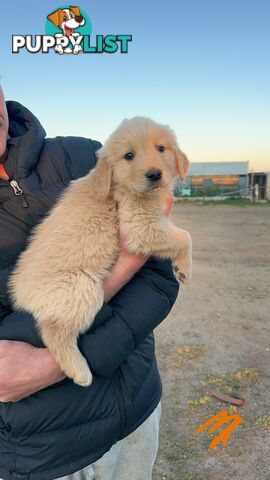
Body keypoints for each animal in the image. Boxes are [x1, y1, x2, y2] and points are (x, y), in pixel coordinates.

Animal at [9, 116, 192, 386]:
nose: (154, 174)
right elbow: (184, 237)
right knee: (53, 332)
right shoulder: (139, 227)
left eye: (161, 149)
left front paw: (179, 267)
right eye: (128, 156)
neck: (119, 185)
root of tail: (19, 292)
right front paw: (185, 267)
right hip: (82, 286)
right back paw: (80, 372)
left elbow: (178, 234)